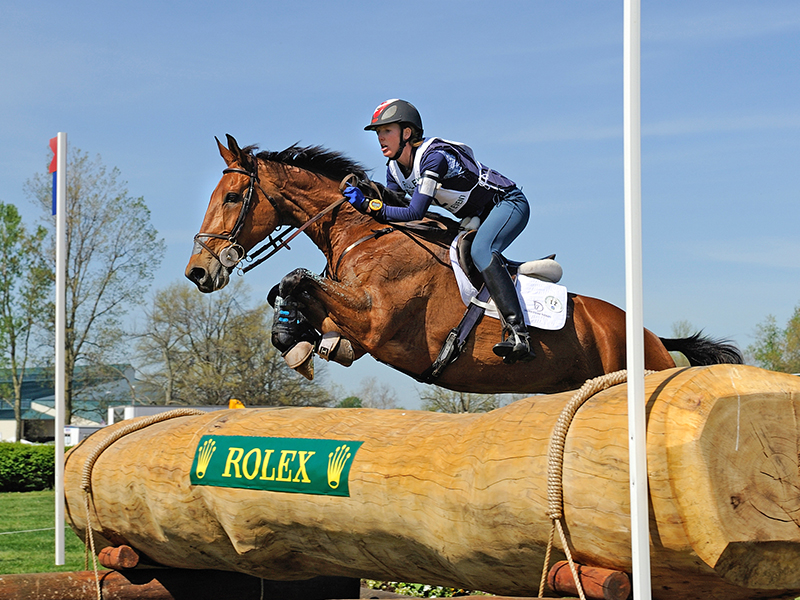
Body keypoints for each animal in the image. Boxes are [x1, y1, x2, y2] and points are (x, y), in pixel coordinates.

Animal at [185, 134, 742, 395]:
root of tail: (652, 335)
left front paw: (293, 339)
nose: (198, 272)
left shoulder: (377, 321)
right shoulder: (355, 329)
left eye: (232, 197)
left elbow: (295, 279)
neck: (362, 234)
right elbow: (298, 292)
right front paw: (293, 339)